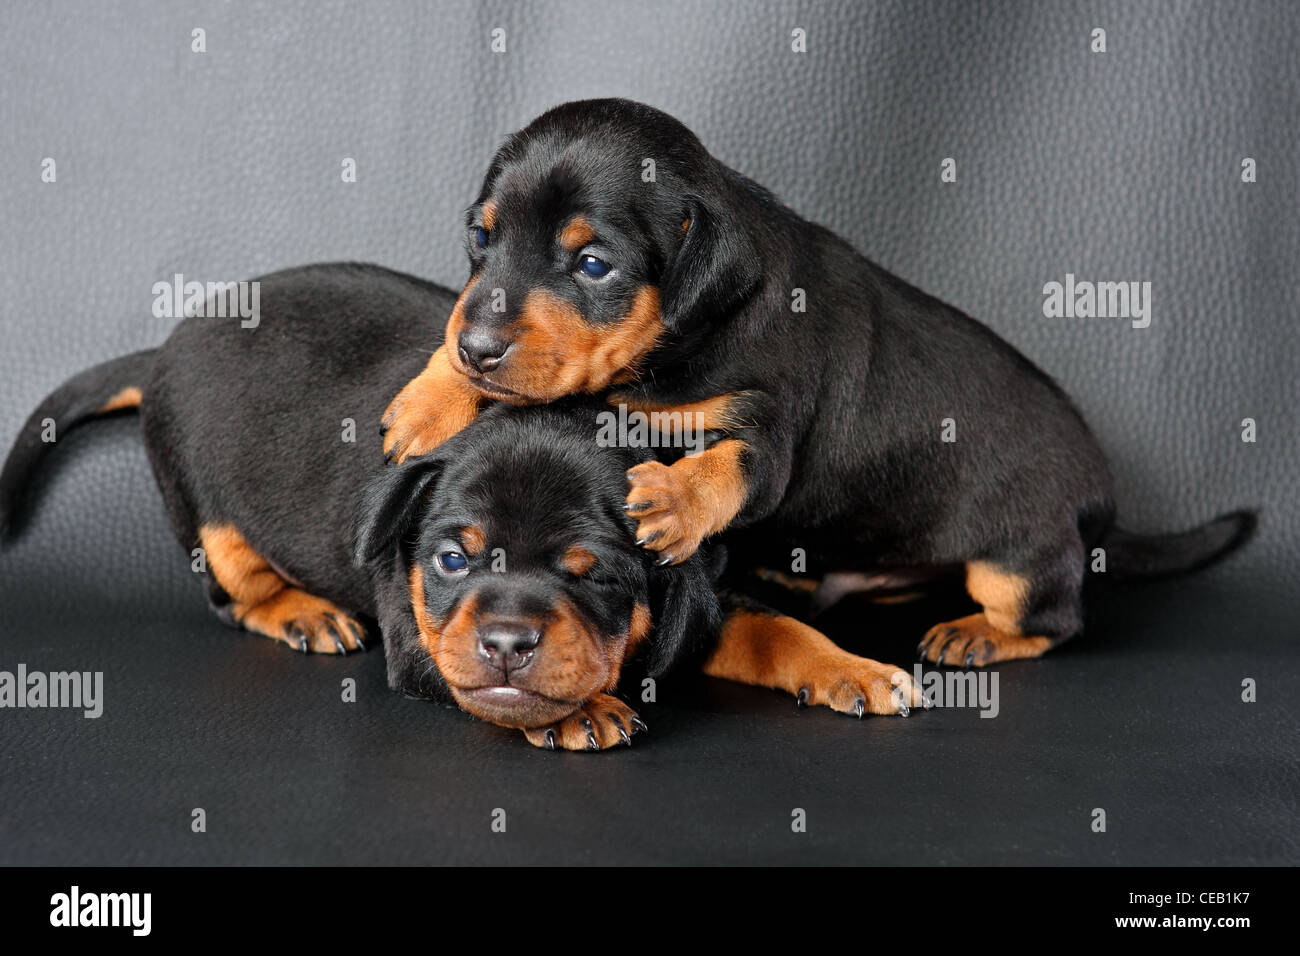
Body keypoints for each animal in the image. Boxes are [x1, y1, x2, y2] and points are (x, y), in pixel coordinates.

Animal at [5, 264, 930, 749]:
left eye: (595, 578)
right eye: (450, 560)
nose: (510, 643)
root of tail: (165, 345)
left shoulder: (700, 597)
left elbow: (776, 628)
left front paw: (852, 668)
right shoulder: (424, 645)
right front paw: (584, 709)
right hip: (210, 517)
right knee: (232, 590)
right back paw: (299, 611)